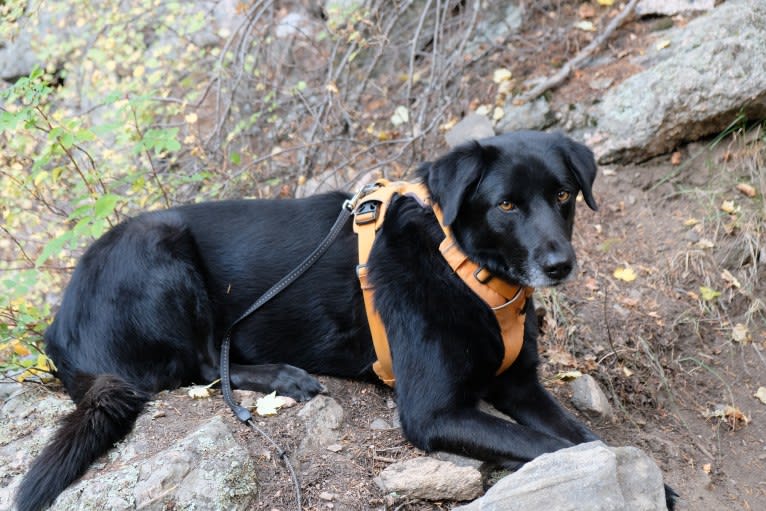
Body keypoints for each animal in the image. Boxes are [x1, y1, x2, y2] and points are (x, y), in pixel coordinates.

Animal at [13, 132, 680, 511]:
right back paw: (283, 376)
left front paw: (653, 481)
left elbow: (582, 436)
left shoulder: (520, 385)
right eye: (507, 205)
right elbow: (546, 445)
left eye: (564, 195)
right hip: (159, 245)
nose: (560, 264)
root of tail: (56, 329)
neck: (464, 268)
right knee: (203, 366)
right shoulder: (434, 413)